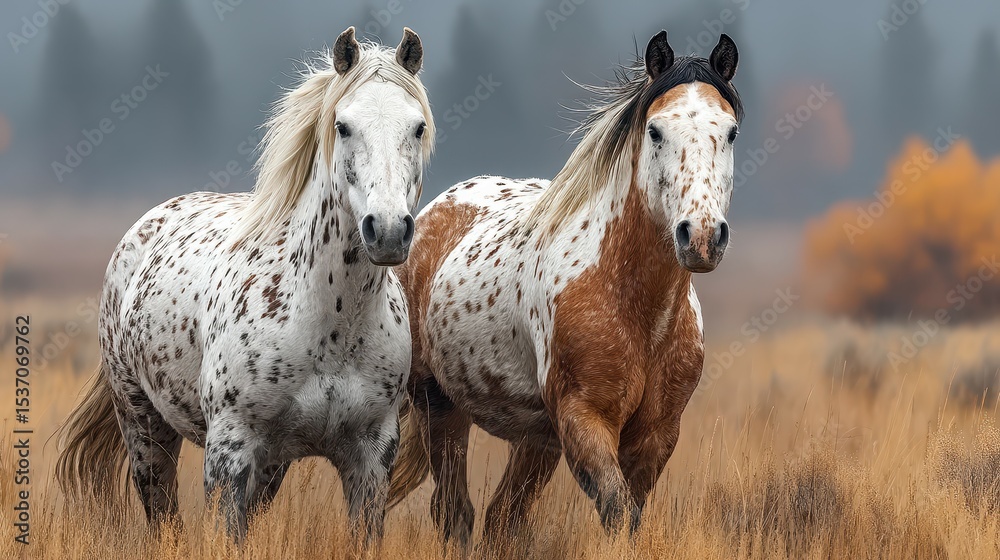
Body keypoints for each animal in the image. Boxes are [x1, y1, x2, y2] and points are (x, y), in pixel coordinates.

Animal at [55, 27, 435, 544]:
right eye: (342, 126)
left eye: (416, 127)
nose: (390, 230)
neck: (330, 322)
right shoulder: (230, 449)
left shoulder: (372, 456)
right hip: (143, 426)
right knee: (161, 514)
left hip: (270, 466)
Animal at [386, 31, 743, 548]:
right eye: (655, 131)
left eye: (730, 131)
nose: (700, 236)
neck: (639, 310)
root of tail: (436, 210)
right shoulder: (584, 418)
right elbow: (616, 511)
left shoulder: (657, 434)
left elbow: (631, 516)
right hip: (440, 407)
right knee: (455, 513)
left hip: (535, 438)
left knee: (501, 518)